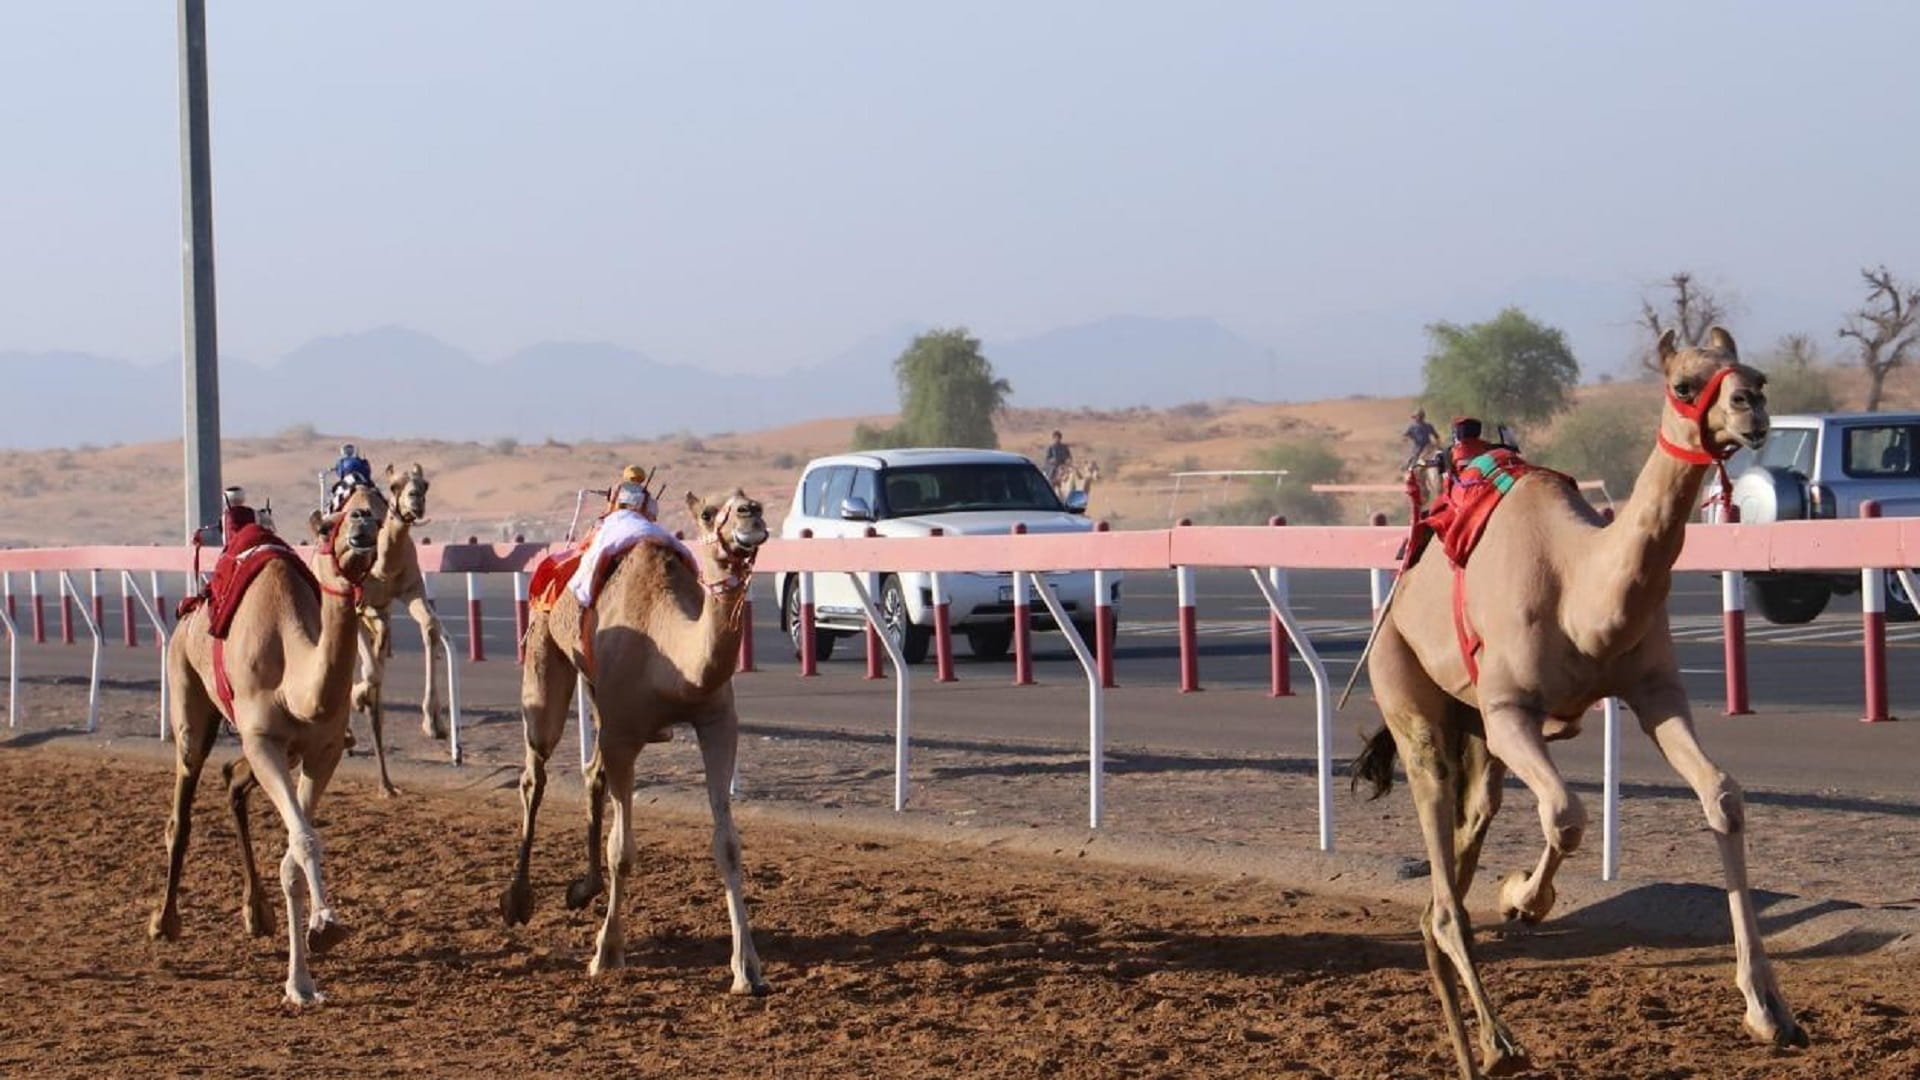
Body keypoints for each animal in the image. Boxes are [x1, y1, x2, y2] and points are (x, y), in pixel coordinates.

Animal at [149, 484, 382, 1006]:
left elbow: (295, 852)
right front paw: (308, 964)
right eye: (330, 521)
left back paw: (257, 913)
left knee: (233, 780)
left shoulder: (322, 750)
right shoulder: (264, 743)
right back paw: (164, 921)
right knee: (182, 811)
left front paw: (315, 948)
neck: (294, 679)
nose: (361, 522)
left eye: (381, 513)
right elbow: (304, 840)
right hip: (189, 699)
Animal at [349, 457, 445, 795]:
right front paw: (358, 696)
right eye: (394, 486)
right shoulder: (357, 605)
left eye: (425, 483)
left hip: (383, 611)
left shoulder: (410, 589)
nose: (415, 500)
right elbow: (369, 673)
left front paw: (434, 722)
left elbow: (430, 627)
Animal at [503, 484, 771, 991]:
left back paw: (582, 889)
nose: (752, 515)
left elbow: (728, 845)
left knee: (591, 773)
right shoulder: (623, 734)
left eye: (752, 500)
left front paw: (747, 969)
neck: (672, 660)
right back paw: (516, 900)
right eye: (709, 512)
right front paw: (606, 952)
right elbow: (622, 850)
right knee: (535, 771)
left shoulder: (717, 722)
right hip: (544, 655)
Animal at [1351, 326, 1797, 1068]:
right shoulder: (1509, 710)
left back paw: (1470, 1046)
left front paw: (1767, 1009)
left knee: (1461, 853)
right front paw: (1523, 900)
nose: (1750, 407)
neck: (1580, 588)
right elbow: (1566, 816)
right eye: (1682, 383)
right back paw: (1500, 1042)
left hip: (1475, 730)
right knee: (1441, 845)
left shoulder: (1655, 692)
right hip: (1405, 681)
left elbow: (1723, 796)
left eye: (1757, 374)